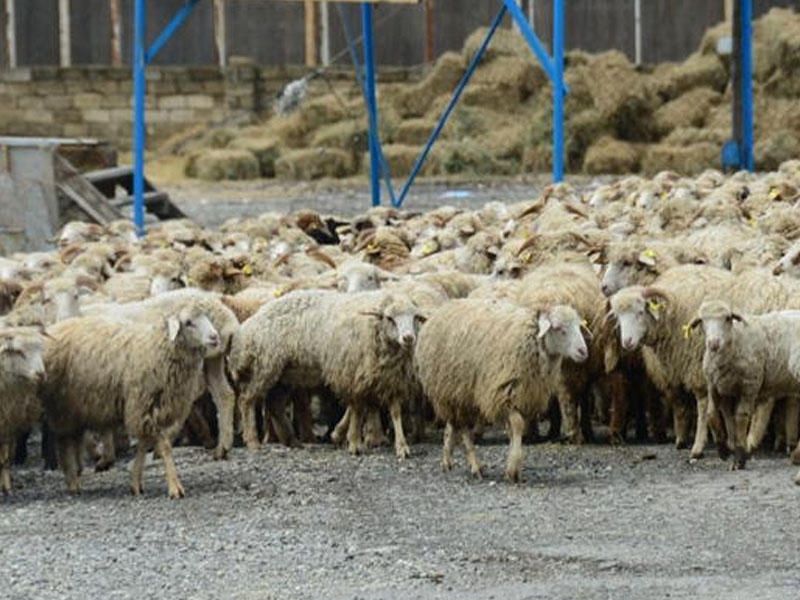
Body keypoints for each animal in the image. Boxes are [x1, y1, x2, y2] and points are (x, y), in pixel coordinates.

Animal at [0, 328, 45, 492]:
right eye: (19, 352)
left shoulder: (7, 421)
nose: (41, 374)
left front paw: (6, 486)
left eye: (41, 349)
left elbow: (4, 457)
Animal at [42, 308, 220, 500]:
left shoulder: (150, 408)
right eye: (188, 322)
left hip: (76, 408)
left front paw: (136, 483)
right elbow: (164, 445)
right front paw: (175, 488)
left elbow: (144, 444)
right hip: (63, 407)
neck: (158, 347)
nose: (215, 337)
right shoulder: (143, 404)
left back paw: (74, 476)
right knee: (66, 442)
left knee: (72, 440)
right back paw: (73, 482)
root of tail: (55, 327)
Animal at [231, 288, 424, 458]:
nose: (408, 338)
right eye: (390, 318)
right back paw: (253, 441)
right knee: (246, 400)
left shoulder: (389, 378)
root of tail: (249, 324)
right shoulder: (350, 372)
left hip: (284, 374)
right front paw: (351, 441)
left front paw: (401, 446)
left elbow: (394, 412)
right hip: (264, 365)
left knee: (275, 405)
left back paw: (293, 441)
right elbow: (357, 408)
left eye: (415, 318)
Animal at [412, 300, 588, 482]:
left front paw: (512, 466)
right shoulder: (504, 394)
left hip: (456, 393)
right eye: (559, 328)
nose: (583, 351)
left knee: (453, 424)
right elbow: (517, 425)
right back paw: (475, 466)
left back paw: (447, 460)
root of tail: (441, 309)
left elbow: (513, 430)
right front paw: (514, 470)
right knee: (464, 429)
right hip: (451, 391)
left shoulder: (525, 395)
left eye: (578, 326)